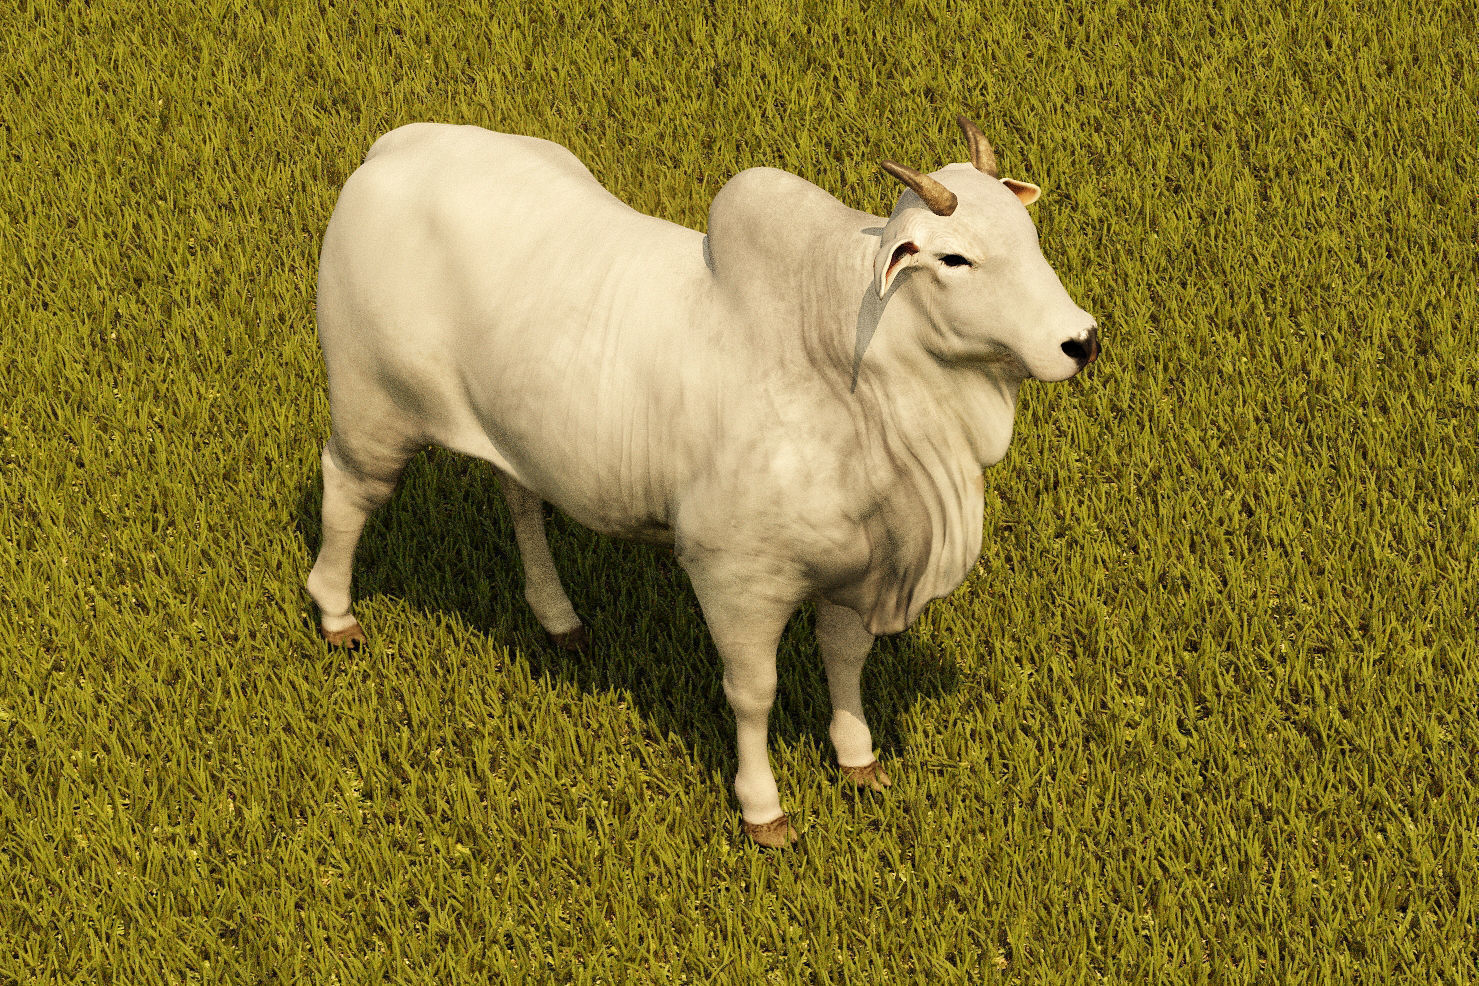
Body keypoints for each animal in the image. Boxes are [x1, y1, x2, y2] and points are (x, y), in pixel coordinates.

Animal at [306, 116, 1099, 847]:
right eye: (954, 258)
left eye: (1028, 234)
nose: (1080, 341)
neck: (855, 381)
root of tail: (393, 149)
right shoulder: (736, 579)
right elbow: (753, 694)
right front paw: (762, 809)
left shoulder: (857, 569)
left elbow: (845, 660)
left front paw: (858, 759)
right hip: (375, 411)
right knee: (346, 490)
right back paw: (336, 614)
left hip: (512, 435)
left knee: (520, 498)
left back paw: (558, 618)